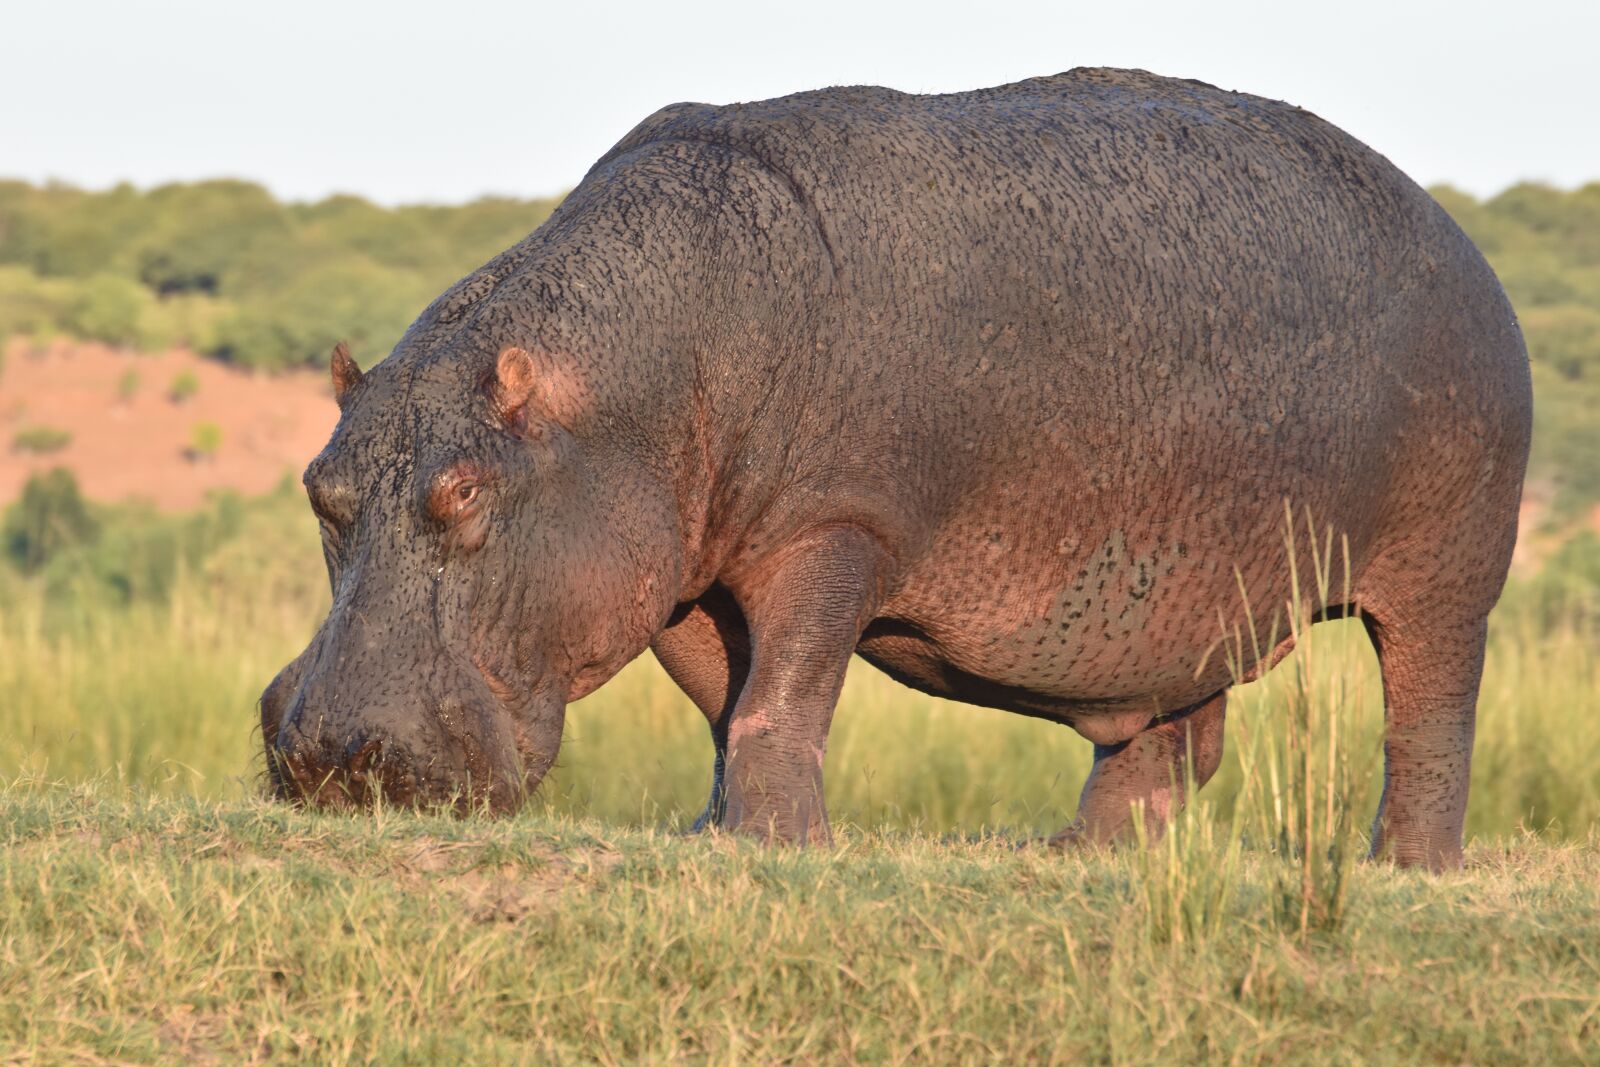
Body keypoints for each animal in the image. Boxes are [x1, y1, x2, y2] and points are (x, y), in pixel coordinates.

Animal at [260, 68, 1531, 870]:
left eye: (464, 493)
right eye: (320, 488)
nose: (325, 753)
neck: (629, 377)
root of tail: (1457, 235)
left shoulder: (836, 529)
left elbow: (785, 689)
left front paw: (777, 843)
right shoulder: (681, 569)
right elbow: (728, 705)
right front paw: (719, 833)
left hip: (1445, 572)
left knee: (1428, 715)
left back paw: (1408, 866)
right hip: (1183, 594)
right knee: (1169, 736)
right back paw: (1078, 854)